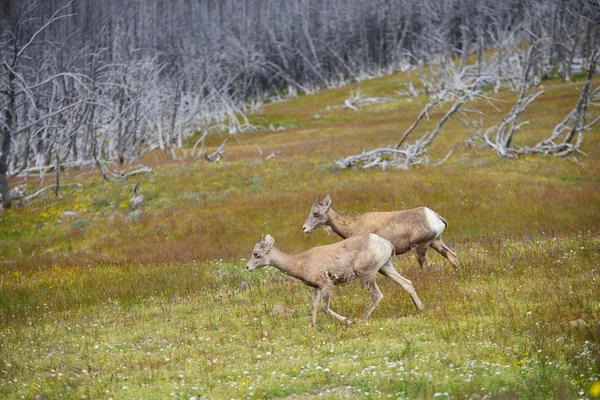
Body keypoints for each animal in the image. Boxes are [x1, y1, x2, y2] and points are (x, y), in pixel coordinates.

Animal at [246, 234, 424, 324]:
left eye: (256, 254)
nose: (247, 267)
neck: (302, 262)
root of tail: (385, 243)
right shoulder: (316, 288)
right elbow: (314, 307)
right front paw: (313, 326)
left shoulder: (327, 285)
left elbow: (325, 308)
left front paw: (347, 321)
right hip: (385, 268)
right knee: (407, 283)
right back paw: (420, 309)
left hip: (367, 274)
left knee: (377, 295)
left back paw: (360, 320)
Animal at [302, 195, 462, 276]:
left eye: (316, 213)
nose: (305, 228)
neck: (353, 225)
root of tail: (433, 216)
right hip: (436, 243)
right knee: (452, 256)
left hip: (420, 248)